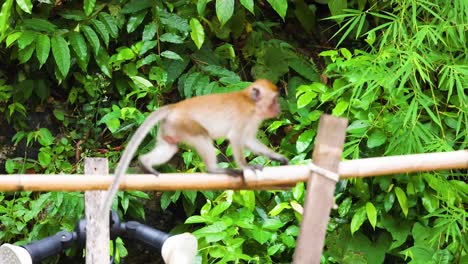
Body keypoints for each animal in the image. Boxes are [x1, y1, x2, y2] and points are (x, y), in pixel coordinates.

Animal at [100, 79, 288, 214]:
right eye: (274, 100)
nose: (279, 108)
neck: (250, 101)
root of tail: (174, 106)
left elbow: (249, 140)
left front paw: (278, 158)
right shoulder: (244, 116)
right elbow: (236, 138)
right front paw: (246, 166)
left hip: (170, 127)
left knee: (170, 148)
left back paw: (145, 163)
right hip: (184, 124)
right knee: (202, 138)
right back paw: (214, 170)